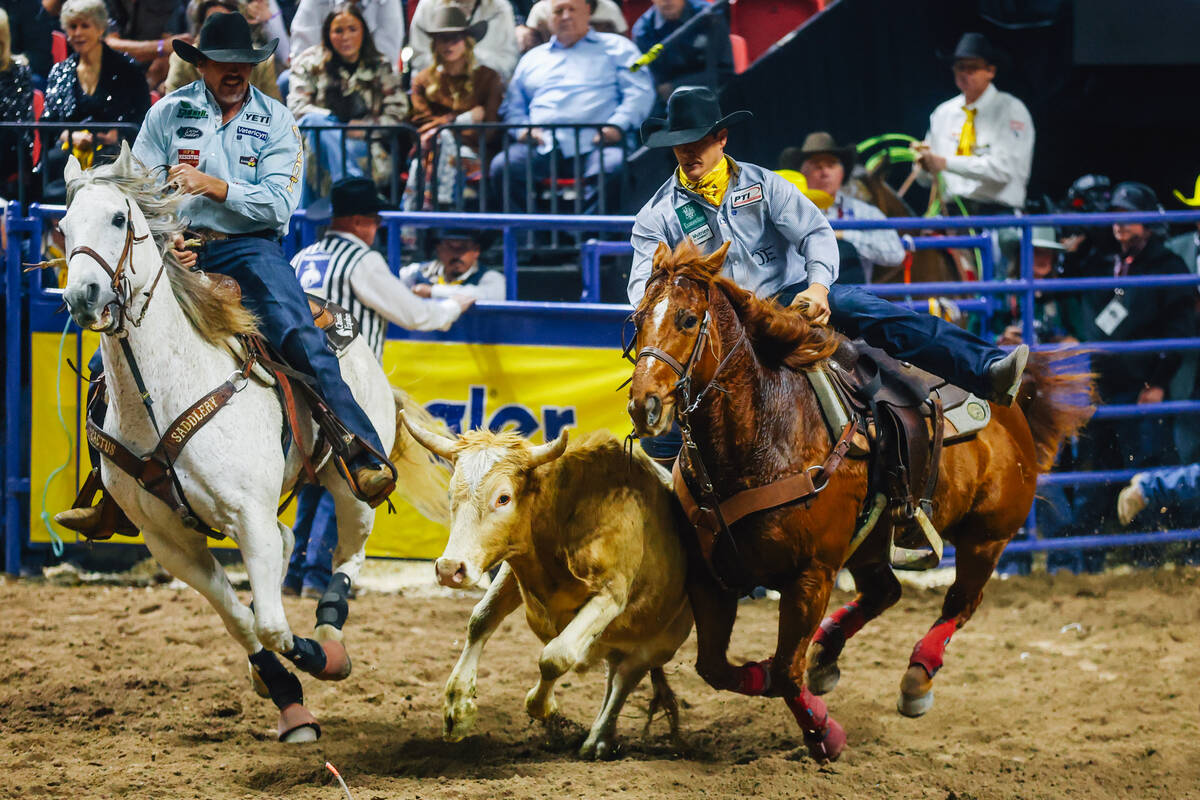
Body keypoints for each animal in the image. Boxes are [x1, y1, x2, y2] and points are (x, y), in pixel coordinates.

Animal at [57, 143, 447, 742]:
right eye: (62, 226)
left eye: (120, 219)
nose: (84, 295)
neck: (164, 395)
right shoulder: (170, 540)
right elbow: (243, 621)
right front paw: (284, 696)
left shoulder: (248, 515)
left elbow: (272, 626)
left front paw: (310, 662)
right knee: (289, 545)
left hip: (350, 484)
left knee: (349, 552)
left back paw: (331, 643)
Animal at [625, 239, 1093, 762]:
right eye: (638, 318)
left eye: (688, 319)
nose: (644, 404)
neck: (766, 432)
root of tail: (1016, 409)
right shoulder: (711, 577)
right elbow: (718, 668)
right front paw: (775, 674)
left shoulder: (811, 575)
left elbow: (784, 671)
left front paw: (825, 734)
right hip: (872, 541)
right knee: (885, 591)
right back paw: (827, 657)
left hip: (986, 536)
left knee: (960, 603)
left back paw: (916, 680)